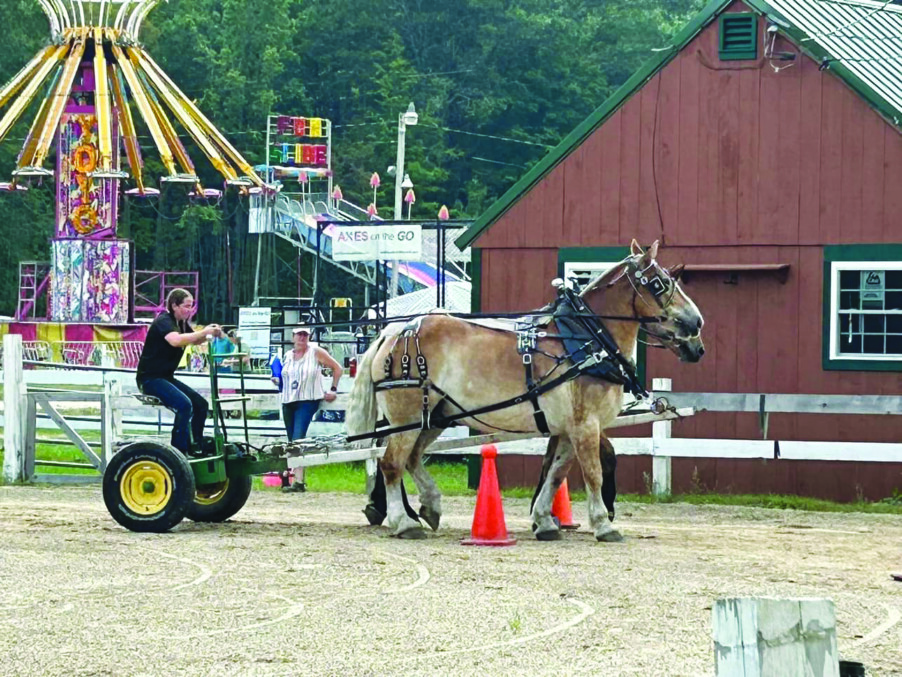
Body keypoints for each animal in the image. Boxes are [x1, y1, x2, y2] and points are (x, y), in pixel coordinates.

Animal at [346, 240, 708, 540]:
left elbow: (557, 473)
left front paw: (545, 521)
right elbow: (593, 472)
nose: (697, 326)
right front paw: (603, 525)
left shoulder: (568, 428)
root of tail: (394, 332)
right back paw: (403, 522)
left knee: (412, 458)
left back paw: (430, 507)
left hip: (435, 416)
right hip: (406, 417)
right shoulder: (586, 424)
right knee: (391, 463)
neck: (586, 339)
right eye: (660, 284)